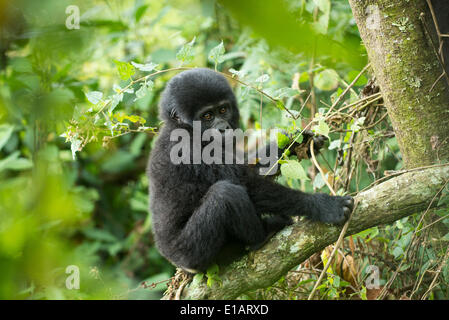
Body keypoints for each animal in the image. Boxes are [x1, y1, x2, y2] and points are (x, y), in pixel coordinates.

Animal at [148, 68, 354, 272]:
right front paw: (323, 205)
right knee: (225, 194)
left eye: (223, 110)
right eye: (207, 116)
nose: (223, 128)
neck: (181, 126)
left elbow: (251, 169)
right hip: (190, 253)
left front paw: (296, 142)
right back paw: (262, 236)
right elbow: (248, 185)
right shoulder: (189, 149)